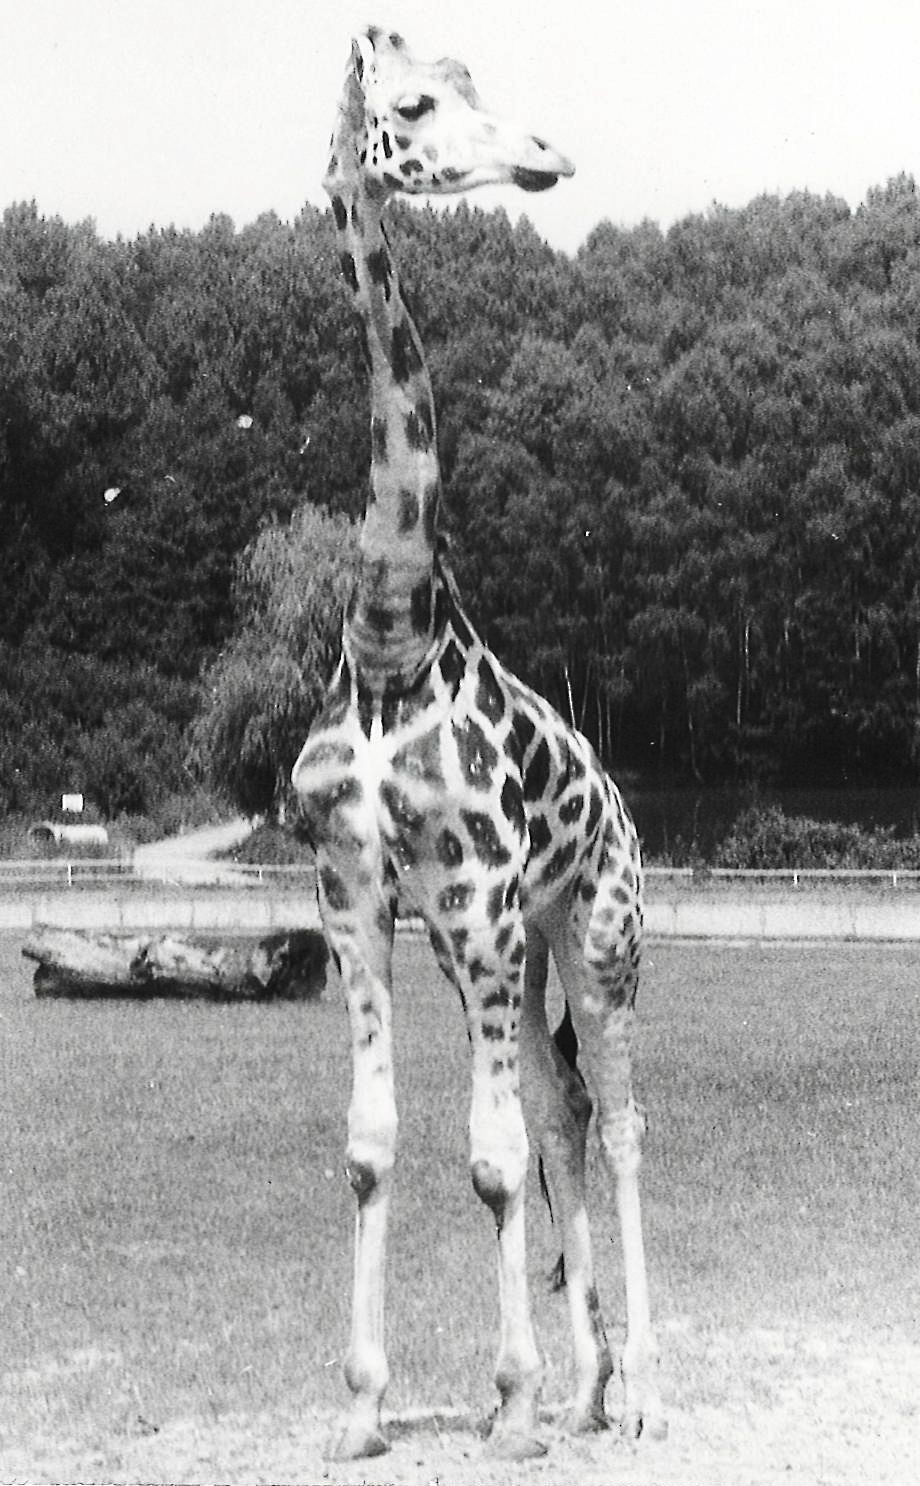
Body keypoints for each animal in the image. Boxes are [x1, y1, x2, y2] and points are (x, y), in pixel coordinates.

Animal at [292, 27, 666, 1462]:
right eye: (412, 104)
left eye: (474, 80)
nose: (547, 154)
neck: (391, 634)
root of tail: (621, 803)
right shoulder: (355, 891)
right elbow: (374, 1144)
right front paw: (361, 1408)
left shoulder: (474, 890)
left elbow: (492, 1159)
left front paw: (504, 1405)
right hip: (523, 939)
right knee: (564, 1110)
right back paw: (588, 1386)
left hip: (597, 932)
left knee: (613, 1116)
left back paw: (642, 1393)